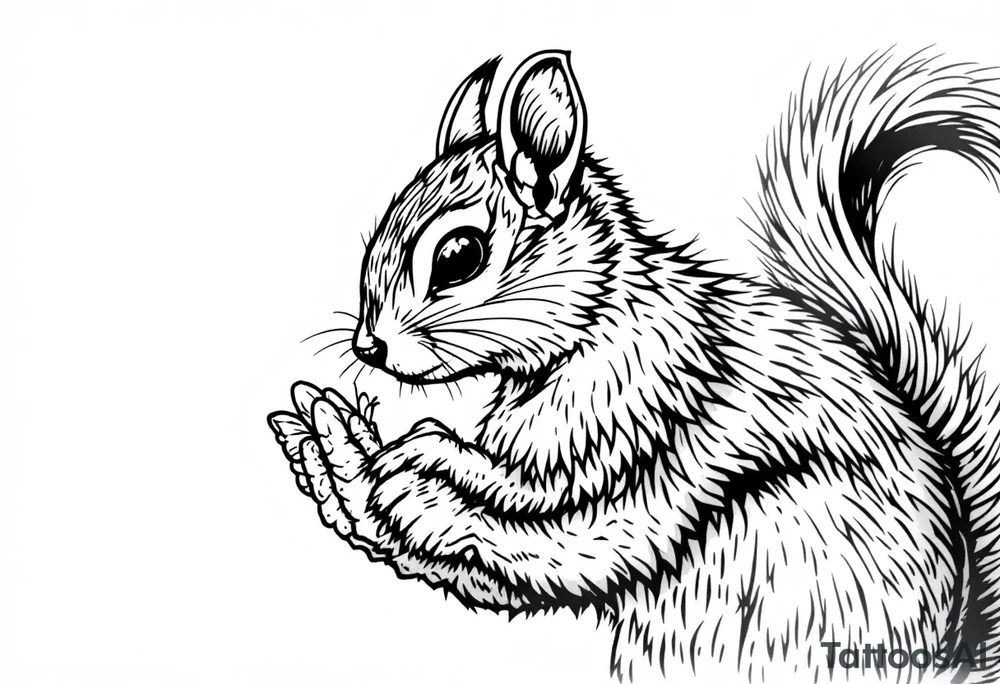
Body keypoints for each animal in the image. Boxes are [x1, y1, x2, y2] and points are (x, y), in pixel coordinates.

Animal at [267, 49, 1000, 683]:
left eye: (459, 256)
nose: (368, 347)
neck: (590, 328)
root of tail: (955, 647)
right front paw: (344, 465)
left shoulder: (632, 421)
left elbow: (554, 521)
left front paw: (416, 464)